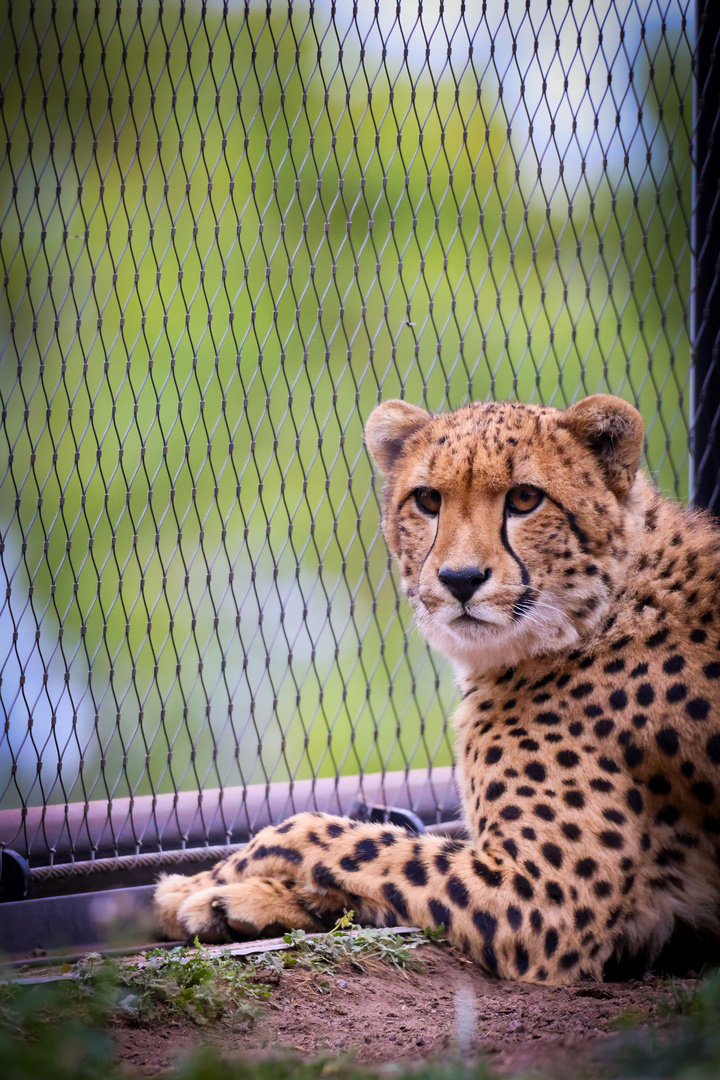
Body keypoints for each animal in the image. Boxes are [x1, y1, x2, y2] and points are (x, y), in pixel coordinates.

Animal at [155, 399, 720, 989]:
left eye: (525, 498)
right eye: (428, 500)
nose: (461, 578)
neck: (599, 612)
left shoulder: (545, 903)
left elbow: (333, 833)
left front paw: (205, 881)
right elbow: (373, 864)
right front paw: (231, 899)